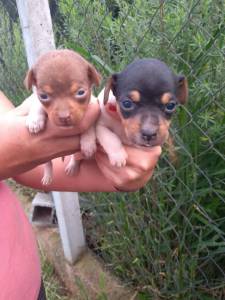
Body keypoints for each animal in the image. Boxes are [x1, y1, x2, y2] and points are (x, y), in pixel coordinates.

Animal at [24, 49, 101, 184]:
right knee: (48, 163)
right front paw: (35, 121)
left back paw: (72, 166)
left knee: (76, 157)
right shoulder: (35, 100)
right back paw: (48, 176)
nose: (64, 117)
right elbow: (37, 105)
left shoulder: (93, 105)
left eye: (81, 92)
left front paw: (88, 143)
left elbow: (89, 126)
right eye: (43, 96)